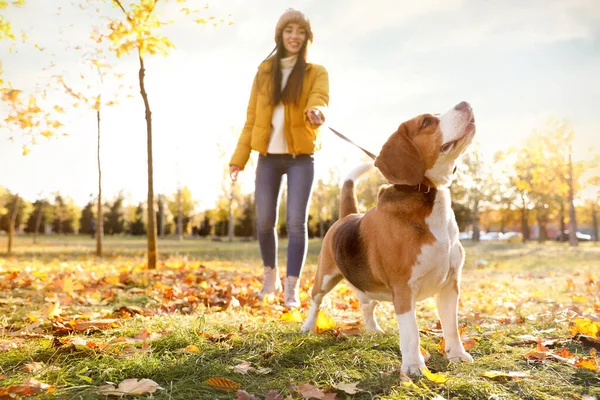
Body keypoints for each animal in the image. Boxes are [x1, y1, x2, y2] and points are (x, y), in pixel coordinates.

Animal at [302, 101, 476, 376]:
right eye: (427, 122)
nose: (465, 103)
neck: (428, 195)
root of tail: (348, 215)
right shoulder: (404, 290)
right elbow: (411, 333)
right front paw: (414, 366)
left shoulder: (450, 285)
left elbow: (451, 327)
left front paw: (457, 355)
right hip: (325, 277)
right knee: (315, 300)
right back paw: (308, 327)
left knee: (367, 304)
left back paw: (373, 329)